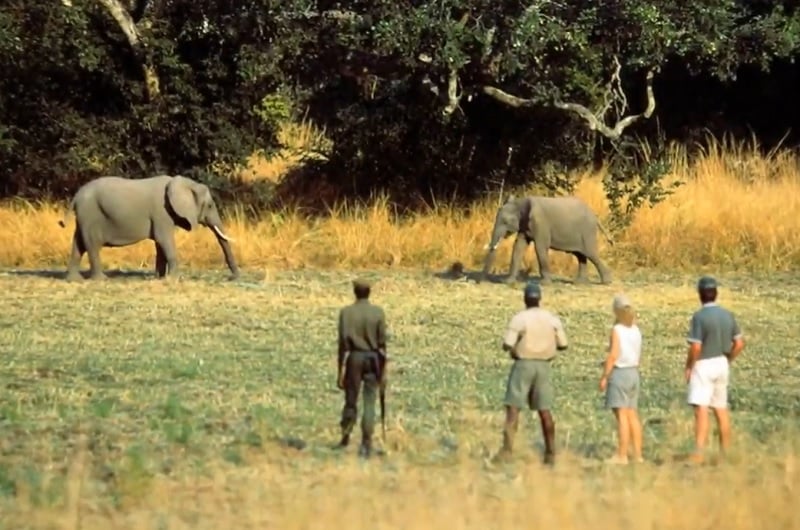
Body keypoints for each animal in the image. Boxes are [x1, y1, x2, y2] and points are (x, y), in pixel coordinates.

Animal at [57, 173, 239, 280]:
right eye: (210, 206)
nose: (234, 277)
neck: (183, 183)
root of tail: (76, 196)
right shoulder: (162, 211)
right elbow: (164, 240)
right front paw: (173, 279)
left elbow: (160, 244)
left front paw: (159, 278)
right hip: (91, 214)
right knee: (92, 244)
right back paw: (101, 280)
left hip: (85, 216)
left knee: (79, 243)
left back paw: (74, 280)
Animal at [482, 194, 612, 284]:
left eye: (505, 222)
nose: (483, 280)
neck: (521, 202)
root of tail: (595, 216)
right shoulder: (524, 225)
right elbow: (519, 246)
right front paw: (508, 282)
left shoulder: (540, 223)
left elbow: (540, 247)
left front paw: (544, 283)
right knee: (580, 255)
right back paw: (579, 283)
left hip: (587, 232)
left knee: (590, 254)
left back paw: (606, 282)